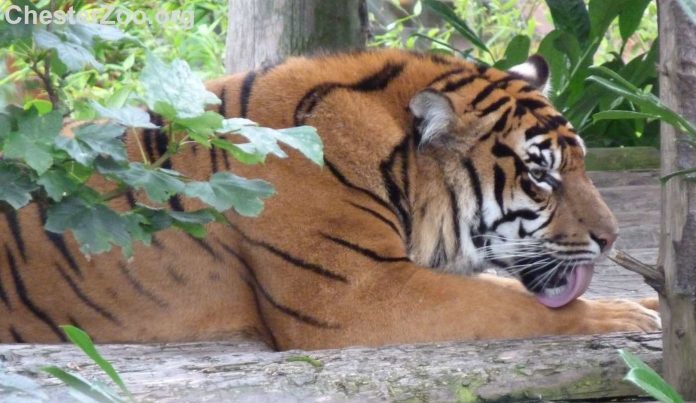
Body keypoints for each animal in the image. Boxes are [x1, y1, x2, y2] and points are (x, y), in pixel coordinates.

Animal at [0, 49, 660, 350]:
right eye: (541, 176)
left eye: (581, 165)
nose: (611, 240)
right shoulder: (357, 296)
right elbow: (515, 305)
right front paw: (629, 315)